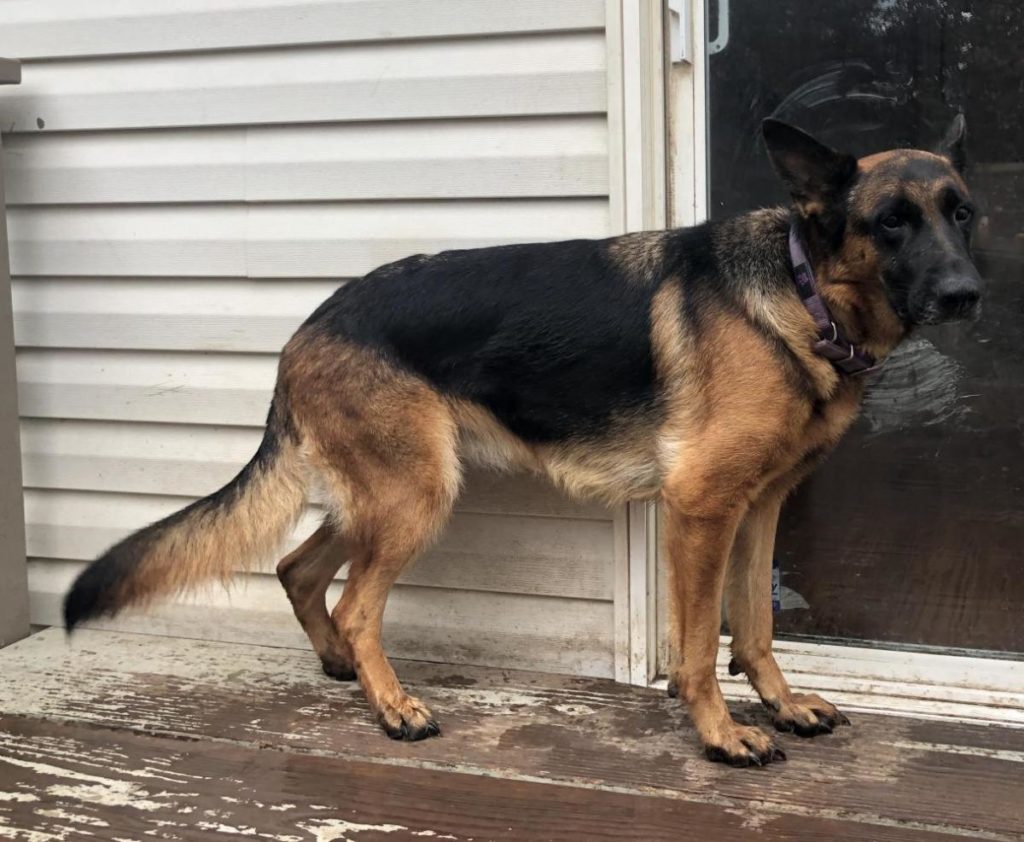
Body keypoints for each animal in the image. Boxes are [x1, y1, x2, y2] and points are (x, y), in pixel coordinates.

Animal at [66, 115, 983, 766]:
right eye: (891, 222)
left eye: (962, 215)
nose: (968, 295)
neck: (801, 293)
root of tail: (308, 327)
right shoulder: (702, 511)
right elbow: (697, 647)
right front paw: (721, 736)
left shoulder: (756, 511)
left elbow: (754, 627)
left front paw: (783, 705)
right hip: (415, 497)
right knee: (358, 605)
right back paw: (392, 707)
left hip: (388, 495)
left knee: (300, 570)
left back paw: (344, 672)